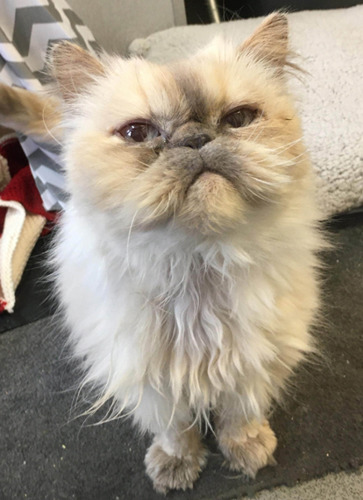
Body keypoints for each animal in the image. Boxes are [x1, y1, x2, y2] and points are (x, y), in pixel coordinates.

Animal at [0, 13, 324, 494]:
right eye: (137, 133)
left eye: (239, 119)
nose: (196, 139)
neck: (196, 266)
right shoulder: (148, 379)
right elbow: (175, 429)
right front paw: (177, 467)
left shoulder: (256, 361)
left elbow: (239, 414)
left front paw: (246, 452)